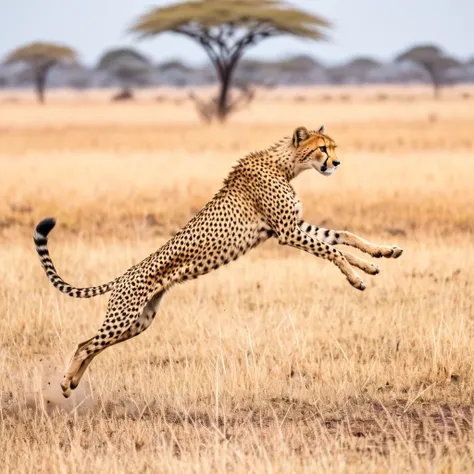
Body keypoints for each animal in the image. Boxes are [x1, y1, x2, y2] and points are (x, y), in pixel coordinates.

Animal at [33, 125, 404, 396]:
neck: (285, 164)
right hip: (124, 317)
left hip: (140, 321)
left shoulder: (297, 226)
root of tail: (123, 275)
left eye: (333, 147)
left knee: (92, 345)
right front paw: (356, 278)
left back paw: (73, 382)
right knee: (85, 344)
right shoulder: (287, 231)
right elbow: (334, 250)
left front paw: (378, 257)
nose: (337, 163)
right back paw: (64, 383)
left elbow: (343, 236)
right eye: (322, 149)